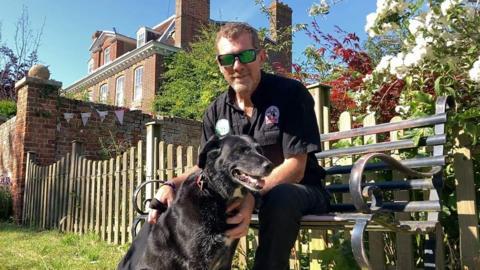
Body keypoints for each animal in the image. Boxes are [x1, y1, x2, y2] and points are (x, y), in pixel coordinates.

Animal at [117, 135, 272, 270]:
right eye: (241, 151)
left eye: (259, 150)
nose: (270, 165)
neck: (214, 195)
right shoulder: (196, 260)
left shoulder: (226, 258)